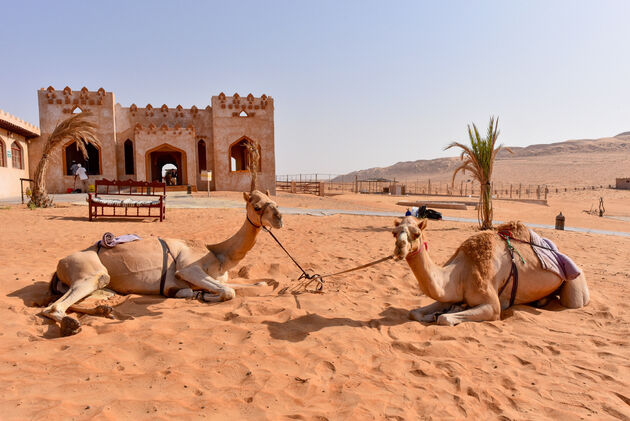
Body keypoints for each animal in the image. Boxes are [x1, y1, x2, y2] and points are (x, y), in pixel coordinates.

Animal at [42, 190, 284, 334]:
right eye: (257, 206)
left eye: (274, 202)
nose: (279, 218)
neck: (218, 255)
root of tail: (59, 265)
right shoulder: (188, 269)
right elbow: (227, 291)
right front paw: (201, 295)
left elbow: (256, 284)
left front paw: (200, 294)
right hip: (89, 271)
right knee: (53, 307)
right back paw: (71, 324)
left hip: (103, 287)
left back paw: (104, 311)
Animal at [392, 217, 592, 324]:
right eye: (394, 232)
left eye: (416, 233)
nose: (400, 248)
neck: (461, 271)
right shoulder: (450, 293)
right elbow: (414, 312)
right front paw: (439, 312)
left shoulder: (492, 305)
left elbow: (445, 319)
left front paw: (445, 314)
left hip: (576, 283)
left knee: (573, 302)